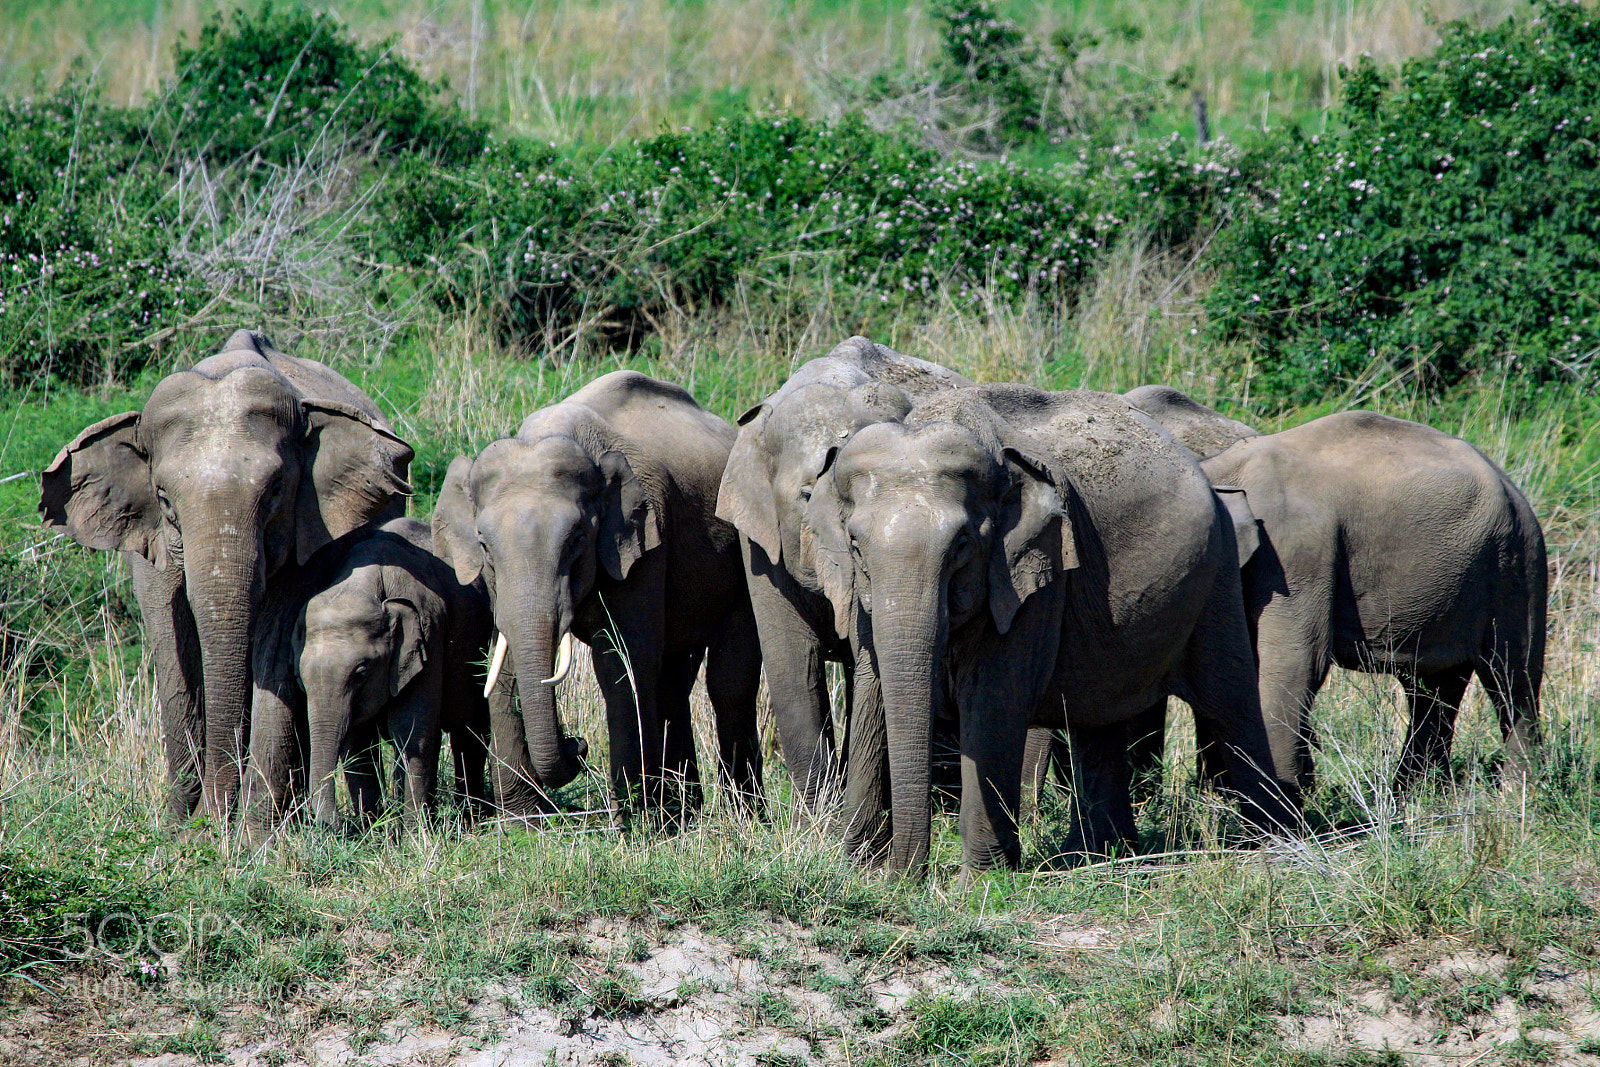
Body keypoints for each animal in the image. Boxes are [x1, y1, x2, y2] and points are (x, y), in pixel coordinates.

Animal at [40, 329, 413, 825]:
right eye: (165, 498)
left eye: (276, 490)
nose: (212, 819)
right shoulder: (152, 543)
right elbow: (170, 640)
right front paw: (180, 830)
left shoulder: (308, 529)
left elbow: (275, 642)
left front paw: (249, 834)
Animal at [283, 517, 492, 829]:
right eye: (301, 680)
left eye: (361, 673)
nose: (333, 823)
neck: (363, 585)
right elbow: (358, 740)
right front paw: (372, 828)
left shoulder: (430, 634)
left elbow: (409, 728)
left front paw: (414, 833)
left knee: (469, 729)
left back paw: (472, 819)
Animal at [432, 370, 763, 821]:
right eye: (483, 545)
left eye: (577, 539)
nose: (578, 744)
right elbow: (505, 666)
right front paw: (522, 824)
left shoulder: (643, 542)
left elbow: (621, 664)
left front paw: (633, 823)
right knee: (674, 679)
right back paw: (682, 815)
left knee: (728, 682)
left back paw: (741, 815)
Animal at [806, 383, 1300, 876]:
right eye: (855, 544)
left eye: (962, 545)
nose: (910, 873)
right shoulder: (858, 594)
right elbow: (872, 692)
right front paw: (858, 870)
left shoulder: (1035, 574)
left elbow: (992, 700)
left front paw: (979, 882)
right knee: (1098, 718)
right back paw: (1099, 855)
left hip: (1216, 573)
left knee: (1230, 699)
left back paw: (1270, 848)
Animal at [1124, 387, 1546, 794]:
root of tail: (1511, 484)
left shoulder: (1296, 552)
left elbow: (1295, 664)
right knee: (1434, 686)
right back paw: (1414, 796)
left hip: (1515, 562)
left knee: (1513, 679)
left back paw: (1517, 796)